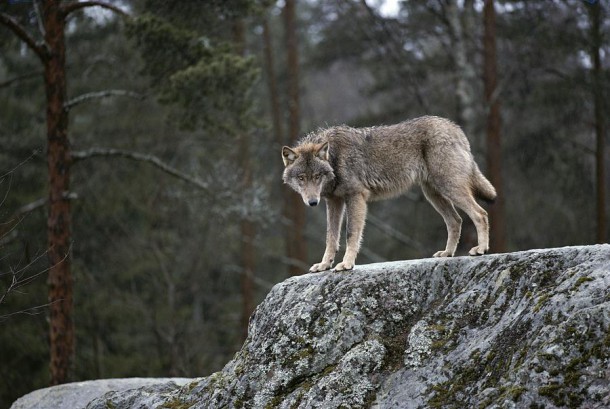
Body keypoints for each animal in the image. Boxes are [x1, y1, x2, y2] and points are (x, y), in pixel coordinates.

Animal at [282, 115, 496, 270]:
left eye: (317, 176)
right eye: (302, 178)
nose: (312, 202)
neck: (334, 157)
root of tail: (454, 127)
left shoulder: (356, 197)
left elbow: (351, 234)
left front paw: (347, 264)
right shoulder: (333, 202)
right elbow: (331, 238)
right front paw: (324, 265)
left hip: (449, 187)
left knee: (481, 214)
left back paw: (481, 249)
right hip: (434, 195)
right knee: (456, 221)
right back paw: (447, 253)